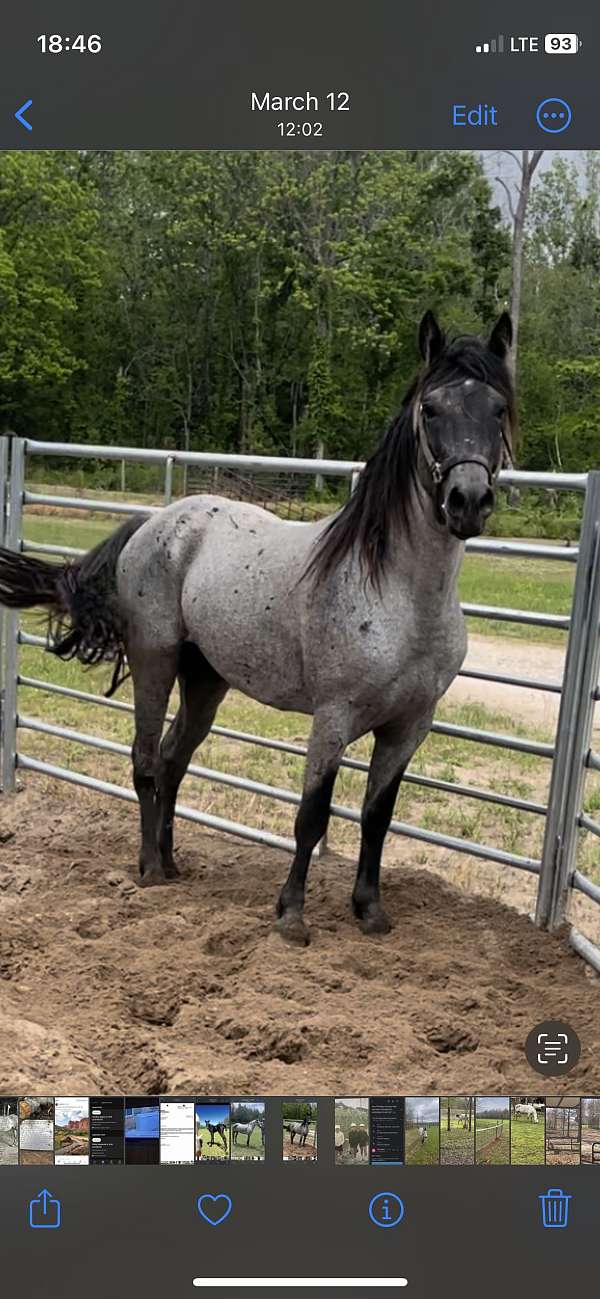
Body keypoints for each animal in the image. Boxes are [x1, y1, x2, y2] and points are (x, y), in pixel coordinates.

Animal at [0, 314, 516, 945]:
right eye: (432, 408)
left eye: (497, 408)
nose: (468, 501)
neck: (399, 593)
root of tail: (155, 523)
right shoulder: (334, 717)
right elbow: (312, 816)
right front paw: (291, 915)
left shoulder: (409, 727)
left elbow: (377, 817)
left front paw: (370, 911)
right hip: (155, 660)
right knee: (145, 760)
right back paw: (149, 869)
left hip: (205, 679)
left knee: (172, 759)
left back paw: (172, 862)